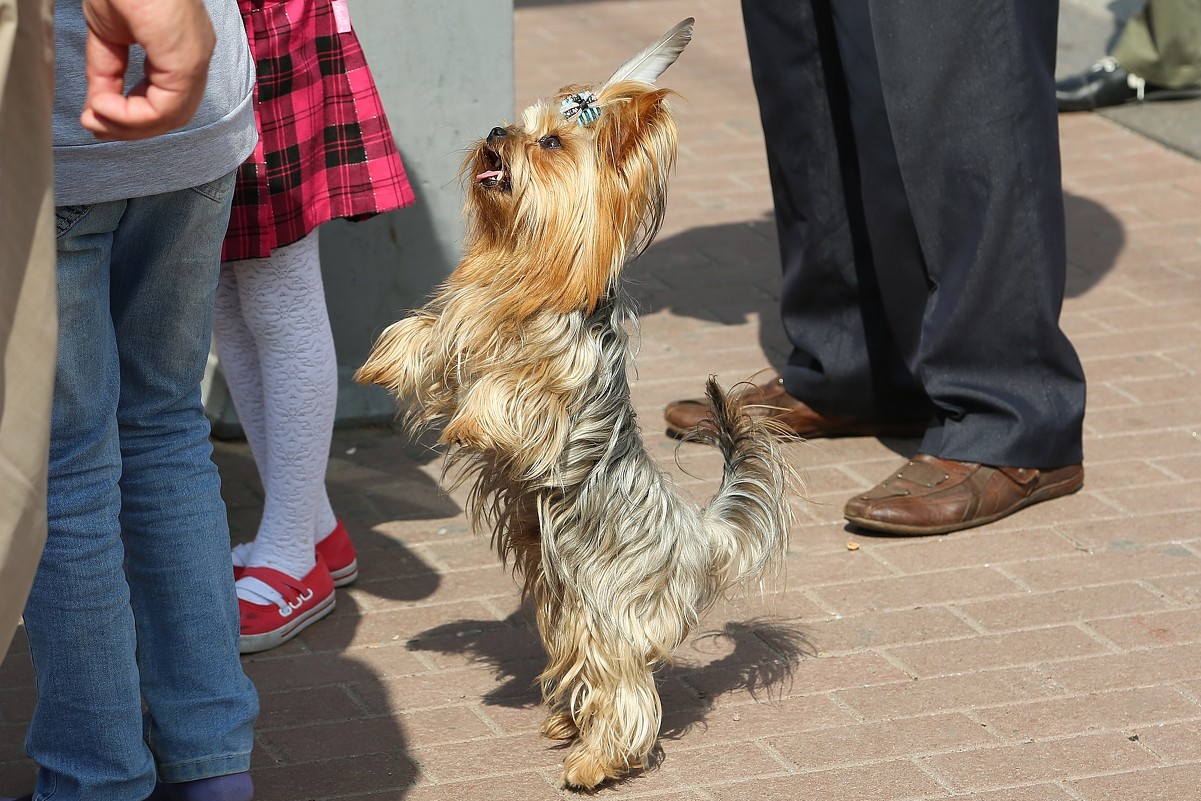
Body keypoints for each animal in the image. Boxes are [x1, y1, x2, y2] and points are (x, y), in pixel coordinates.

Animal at [355, 18, 797, 787]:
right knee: (583, 669)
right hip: (563, 601)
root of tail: (696, 536)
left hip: (608, 606)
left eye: (553, 144)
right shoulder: (466, 323)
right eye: (518, 126)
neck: (525, 264)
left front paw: (472, 422)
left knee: (625, 689)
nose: (495, 131)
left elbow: (508, 392)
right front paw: (382, 362)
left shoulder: (552, 386)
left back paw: (594, 761)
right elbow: (430, 338)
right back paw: (567, 723)